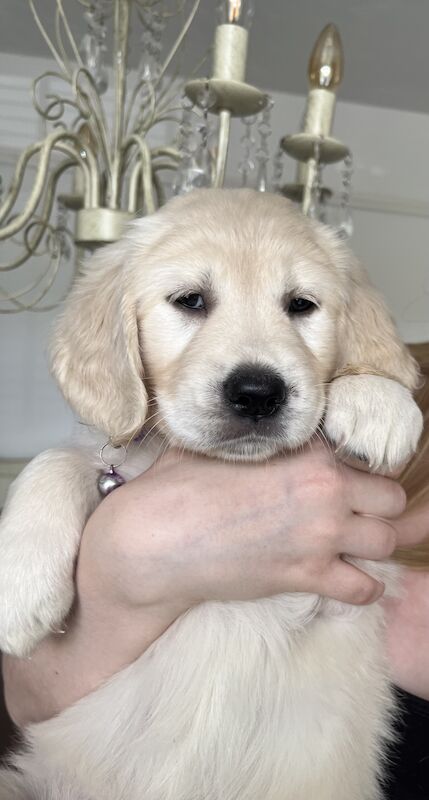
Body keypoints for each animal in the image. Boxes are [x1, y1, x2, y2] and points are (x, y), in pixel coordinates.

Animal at [0, 189, 422, 800]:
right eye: (191, 300)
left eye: (301, 305)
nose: (257, 393)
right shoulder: (118, 460)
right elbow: (58, 460)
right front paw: (19, 589)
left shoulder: (354, 590)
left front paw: (376, 399)